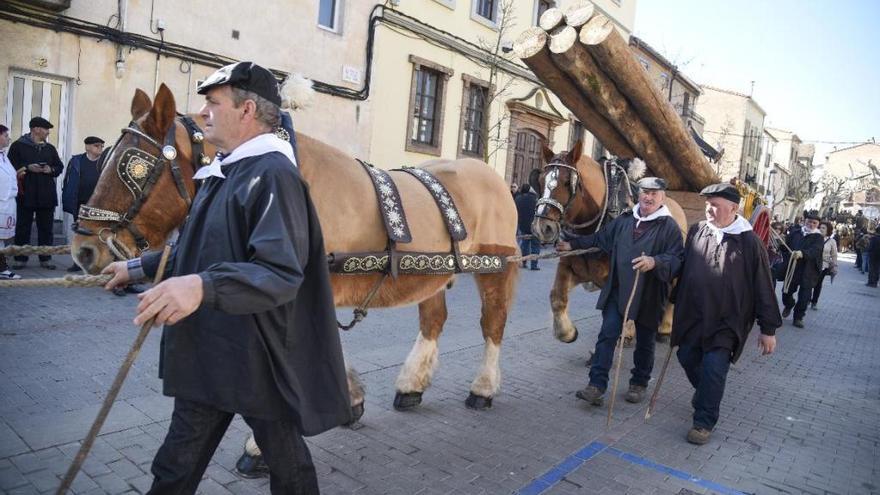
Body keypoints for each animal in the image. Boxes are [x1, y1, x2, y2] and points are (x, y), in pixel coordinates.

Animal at [74, 83, 524, 416]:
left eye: (136, 167)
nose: (83, 249)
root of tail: (492, 174)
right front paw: (352, 397)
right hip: (432, 272)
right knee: (434, 320)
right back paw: (413, 384)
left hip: (495, 266)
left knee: (493, 323)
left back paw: (483, 388)